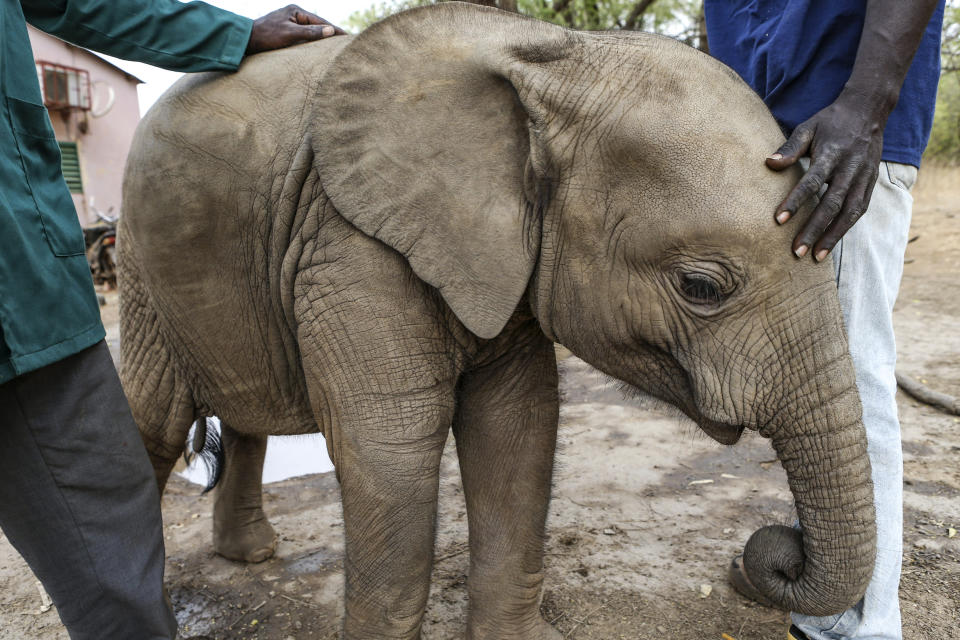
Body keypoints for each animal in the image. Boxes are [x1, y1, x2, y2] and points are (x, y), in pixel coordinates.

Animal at [120, 2, 876, 636]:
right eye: (700, 287)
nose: (770, 554)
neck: (555, 58)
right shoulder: (348, 242)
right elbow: (392, 449)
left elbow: (517, 422)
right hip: (139, 266)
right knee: (152, 421)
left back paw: (251, 555)